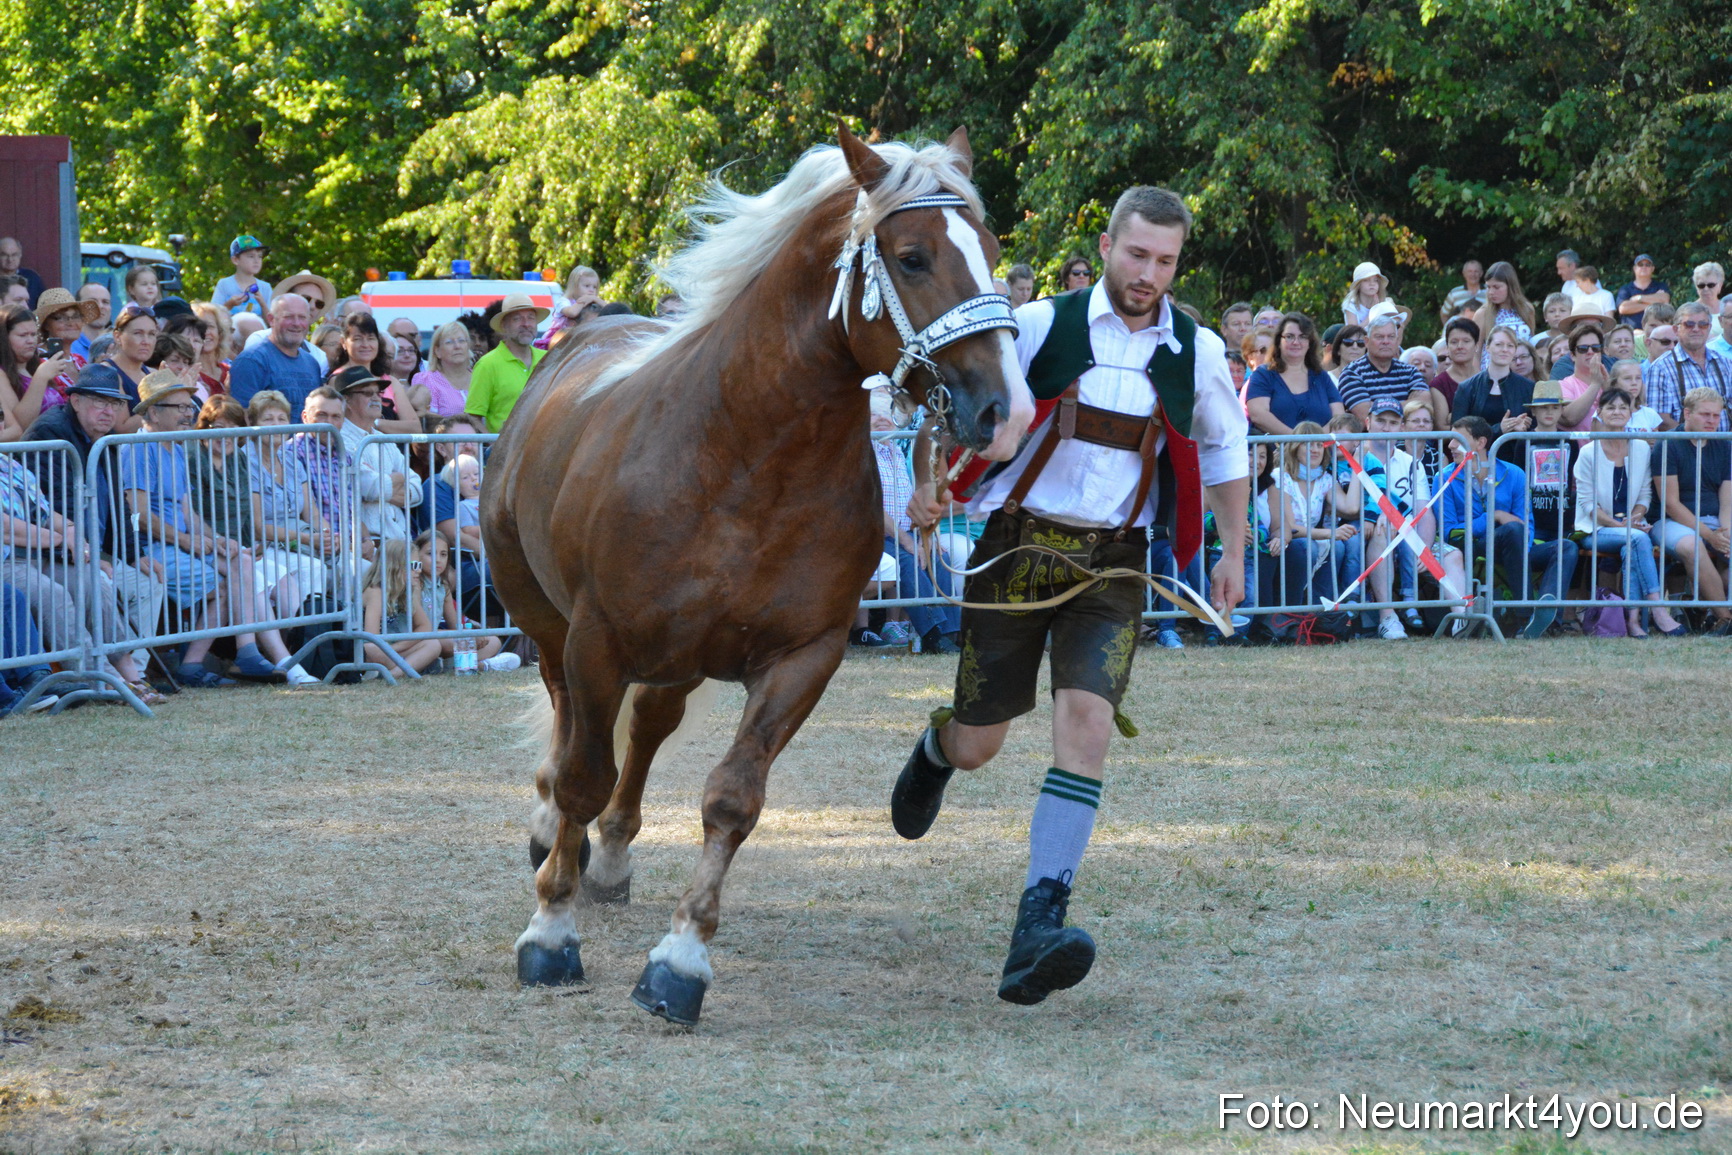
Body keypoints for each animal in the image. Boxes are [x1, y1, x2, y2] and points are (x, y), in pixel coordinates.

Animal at [480, 124, 1035, 1025]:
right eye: (913, 257)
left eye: (989, 252)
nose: (1005, 410)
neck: (746, 454)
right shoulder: (596, 643)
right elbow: (582, 777)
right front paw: (550, 933)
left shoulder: (802, 658)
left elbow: (731, 799)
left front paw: (679, 960)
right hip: (549, 628)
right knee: (568, 746)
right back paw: (554, 840)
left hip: (672, 657)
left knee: (647, 733)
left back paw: (612, 859)